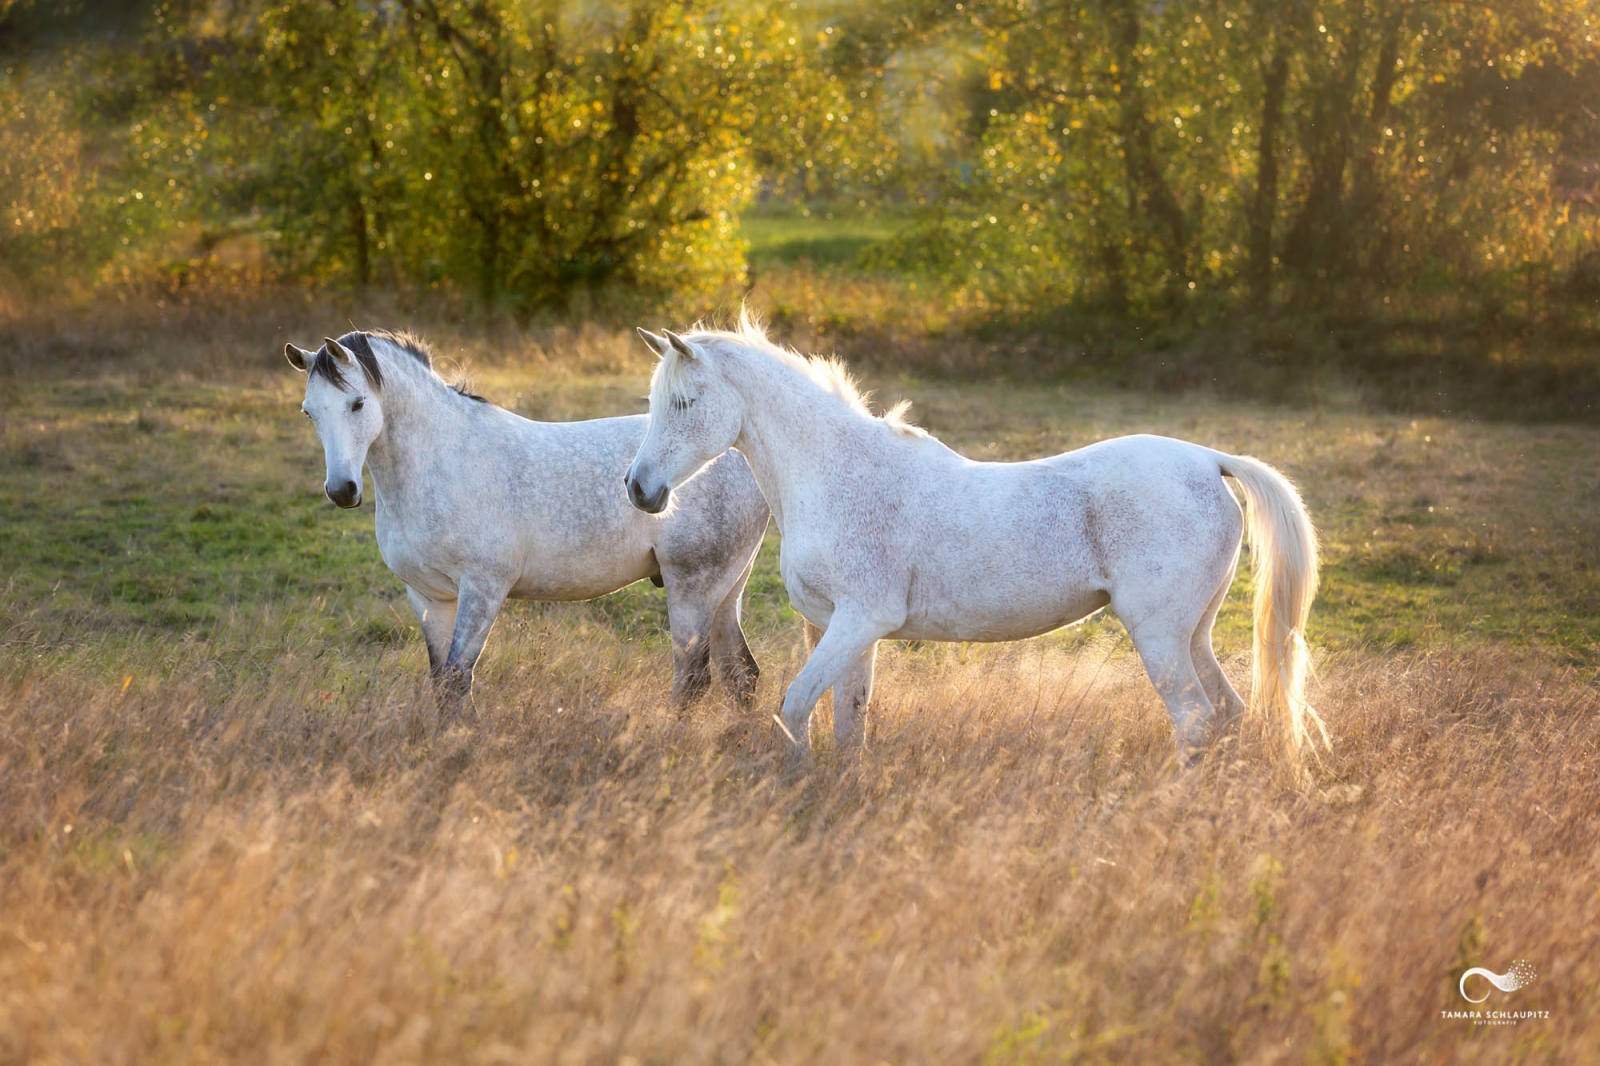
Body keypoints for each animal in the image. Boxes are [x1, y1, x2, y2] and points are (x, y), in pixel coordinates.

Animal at [289, 328, 774, 717]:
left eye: (357, 404)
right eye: (309, 411)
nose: (342, 490)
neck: (444, 461)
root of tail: (739, 452)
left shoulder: (483, 589)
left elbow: (457, 678)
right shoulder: (429, 597)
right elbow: (441, 683)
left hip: (692, 585)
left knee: (693, 679)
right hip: (725, 590)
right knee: (741, 674)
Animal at [624, 315, 1324, 771]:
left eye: (685, 402)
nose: (639, 489)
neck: (839, 474)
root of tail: (1209, 461)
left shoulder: (859, 620)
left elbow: (795, 710)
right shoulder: (848, 631)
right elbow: (850, 723)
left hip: (1159, 636)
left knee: (1196, 722)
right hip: (1193, 634)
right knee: (1230, 714)